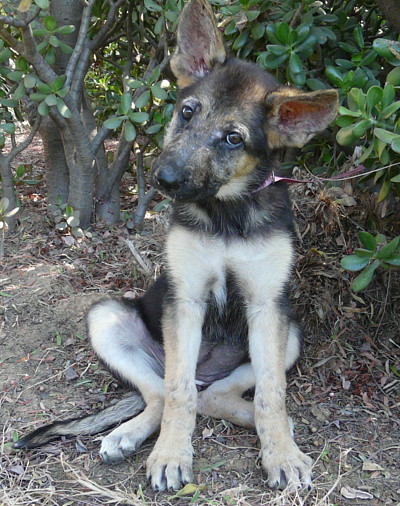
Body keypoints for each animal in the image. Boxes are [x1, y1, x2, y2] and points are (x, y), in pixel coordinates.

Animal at [15, 0, 338, 492]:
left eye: (233, 138)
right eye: (187, 112)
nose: (163, 179)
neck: (226, 212)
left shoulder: (267, 305)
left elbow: (272, 394)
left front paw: (281, 453)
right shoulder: (184, 299)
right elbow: (177, 391)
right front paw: (170, 455)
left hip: (292, 334)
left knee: (216, 396)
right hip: (108, 317)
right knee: (163, 391)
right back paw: (127, 434)